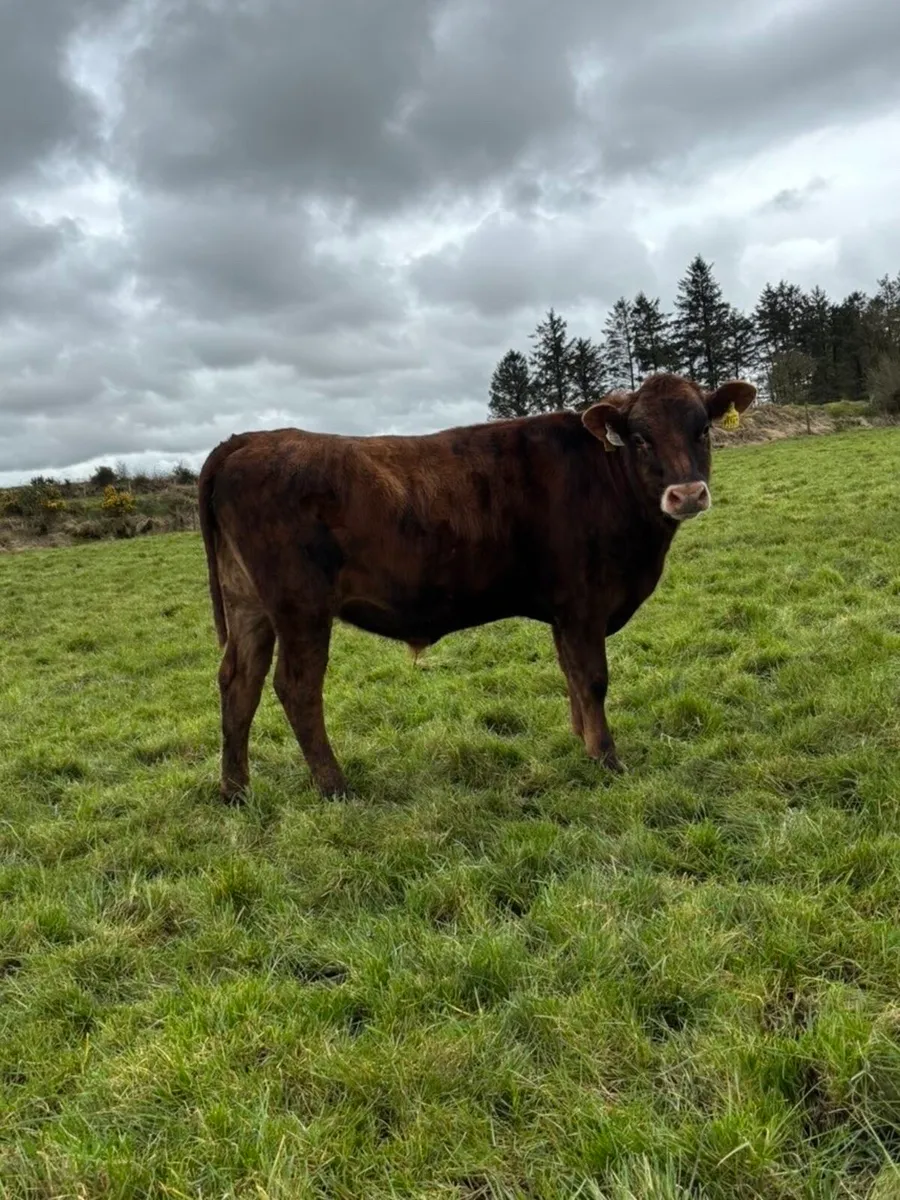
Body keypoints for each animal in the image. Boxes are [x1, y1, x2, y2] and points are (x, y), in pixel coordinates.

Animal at [198, 371, 756, 800]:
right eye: (640, 438)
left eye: (703, 429)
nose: (687, 494)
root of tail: (248, 440)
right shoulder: (584, 604)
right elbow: (594, 678)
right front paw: (606, 757)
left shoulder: (563, 612)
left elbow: (572, 676)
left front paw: (581, 739)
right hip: (301, 607)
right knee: (296, 687)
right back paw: (334, 785)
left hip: (249, 604)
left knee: (238, 681)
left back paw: (236, 790)